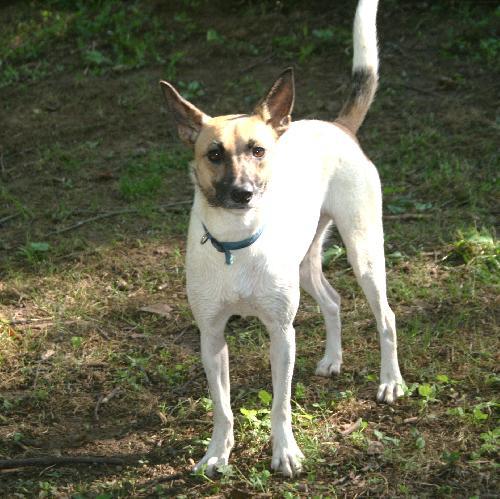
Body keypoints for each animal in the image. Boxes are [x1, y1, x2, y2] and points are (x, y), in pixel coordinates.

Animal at [160, 0, 402, 478]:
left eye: (258, 150)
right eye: (213, 154)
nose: (242, 193)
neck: (236, 245)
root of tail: (337, 127)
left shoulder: (281, 332)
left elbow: (280, 404)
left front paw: (285, 452)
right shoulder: (211, 335)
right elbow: (222, 407)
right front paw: (217, 453)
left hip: (365, 253)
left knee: (386, 317)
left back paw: (390, 382)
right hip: (306, 263)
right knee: (333, 300)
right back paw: (332, 359)